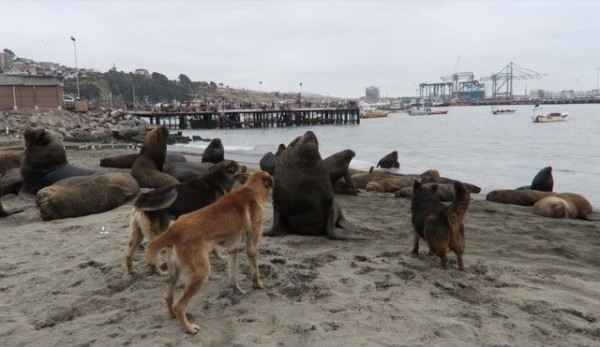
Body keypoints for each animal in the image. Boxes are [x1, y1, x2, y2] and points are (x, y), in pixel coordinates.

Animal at [145, 170, 274, 336]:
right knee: (180, 305)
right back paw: (188, 328)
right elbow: (255, 272)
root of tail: (174, 230)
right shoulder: (252, 246)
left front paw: (237, 290)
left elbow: (234, 274)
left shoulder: (232, 249)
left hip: (175, 271)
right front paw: (258, 285)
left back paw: (173, 315)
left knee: (169, 296)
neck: (250, 188)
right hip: (201, 273)